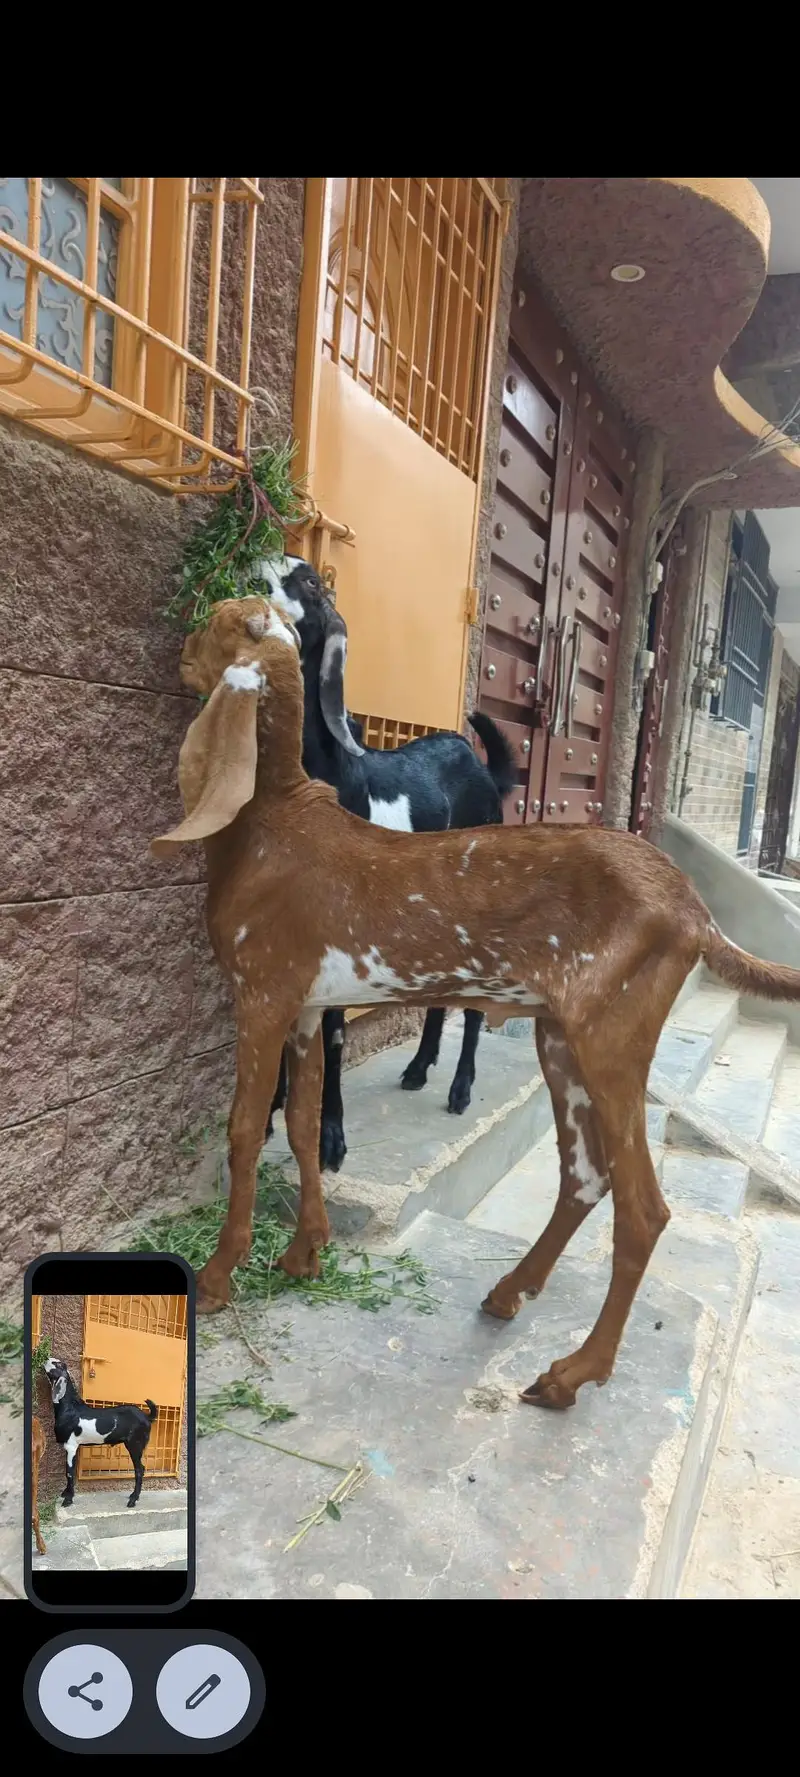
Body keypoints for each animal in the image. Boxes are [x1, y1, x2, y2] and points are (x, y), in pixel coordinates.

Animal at [43, 1357, 157, 1508]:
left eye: (58, 1364)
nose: (46, 1358)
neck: (70, 1407)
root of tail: (146, 1416)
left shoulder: (71, 1445)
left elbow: (69, 1473)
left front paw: (68, 1499)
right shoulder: (72, 1447)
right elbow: (68, 1470)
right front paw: (65, 1493)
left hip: (135, 1444)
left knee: (139, 1470)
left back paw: (133, 1500)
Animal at [259, 555, 515, 1170]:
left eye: (311, 582)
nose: (271, 558)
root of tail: (478, 765)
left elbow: (332, 1033)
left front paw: (330, 1138)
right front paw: (272, 1111)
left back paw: (461, 1088)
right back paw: (420, 1067)